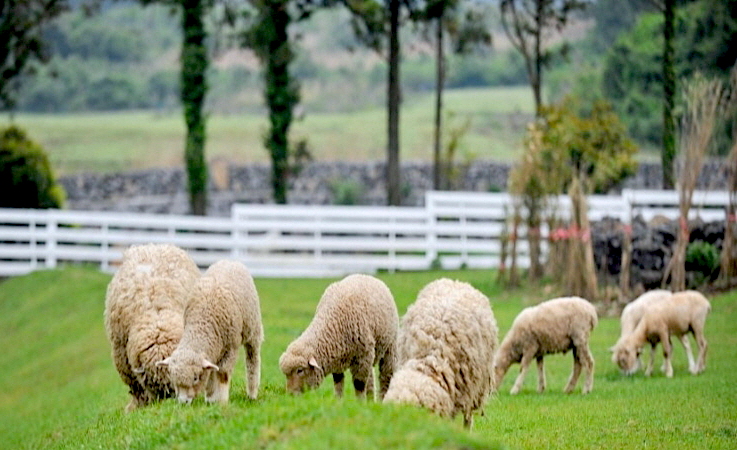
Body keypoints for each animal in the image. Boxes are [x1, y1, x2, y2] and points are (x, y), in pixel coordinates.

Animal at [103, 243, 200, 412]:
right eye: (155, 383)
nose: (170, 402)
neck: (157, 317)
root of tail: (151, 246)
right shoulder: (123, 357)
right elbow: (135, 387)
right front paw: (137, 406)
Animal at [154, 260, 264, 404]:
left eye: (195, 378)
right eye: (173, 379)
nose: (183, 402)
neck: (202, 324)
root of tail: (230, 261)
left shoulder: (230, 348)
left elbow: (222, 374)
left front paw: (222, 401)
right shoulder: (213, 350)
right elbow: (211, 373)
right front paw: (211, 399)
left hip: (253, 328)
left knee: (253, 360)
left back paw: (252, 393)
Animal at [278, 272, 396, 400]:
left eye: (300, 370)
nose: (291, 395)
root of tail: (365, 275)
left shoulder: (362, 356)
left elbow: (359, 384)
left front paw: (359, 402)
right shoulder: (338, 355)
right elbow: (338, 383)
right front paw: (338, 401)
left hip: (390, 346)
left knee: (386, 375)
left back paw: (382, 400)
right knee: (370, 378)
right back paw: (370, 401)